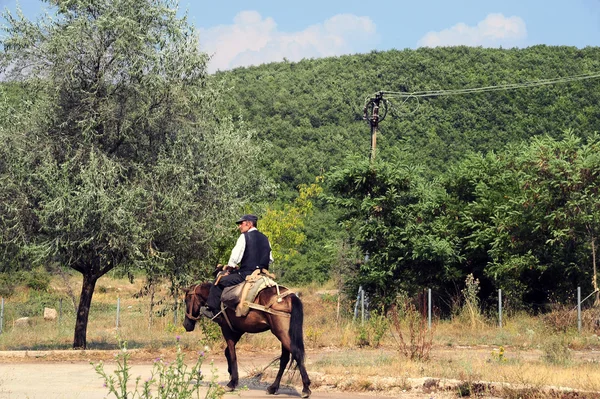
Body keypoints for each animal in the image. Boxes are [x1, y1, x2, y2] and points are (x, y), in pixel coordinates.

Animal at [183, 282, 312, 398]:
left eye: (186, 300)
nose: (186, 324)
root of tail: (290, 297)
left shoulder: (227, 330)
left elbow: (232, 354)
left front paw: (232, 382)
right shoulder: (238, 330)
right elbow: (227, 352)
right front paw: (230, 374)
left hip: (282, 333)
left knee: (297, 353)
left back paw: (305, 388)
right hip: (284, 334)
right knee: (285, 359)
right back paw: (273, 387)